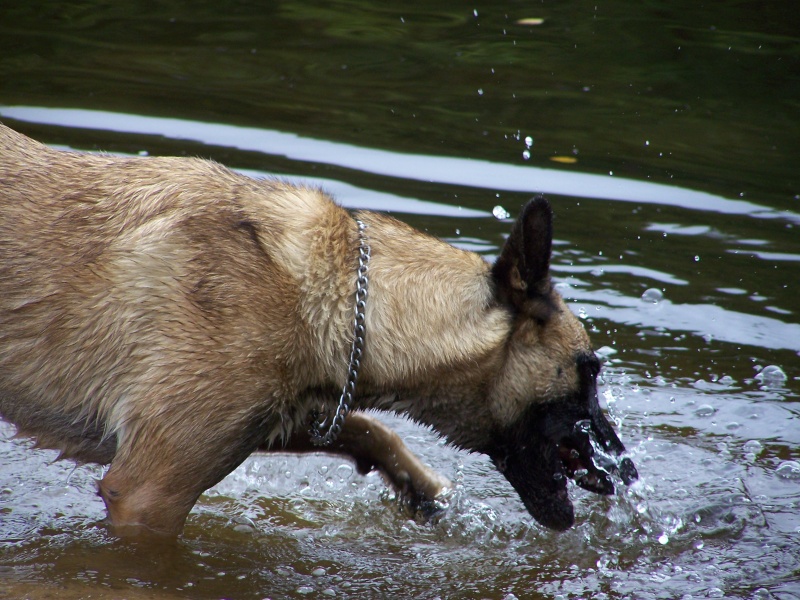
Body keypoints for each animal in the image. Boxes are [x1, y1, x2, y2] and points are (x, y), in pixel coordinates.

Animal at [0, 124, 636, 536]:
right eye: (590, 371)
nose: (627, 469)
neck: (339, 293)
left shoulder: (279, 417)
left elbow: (368, 429)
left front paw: (420, 487)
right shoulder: (147, 495)